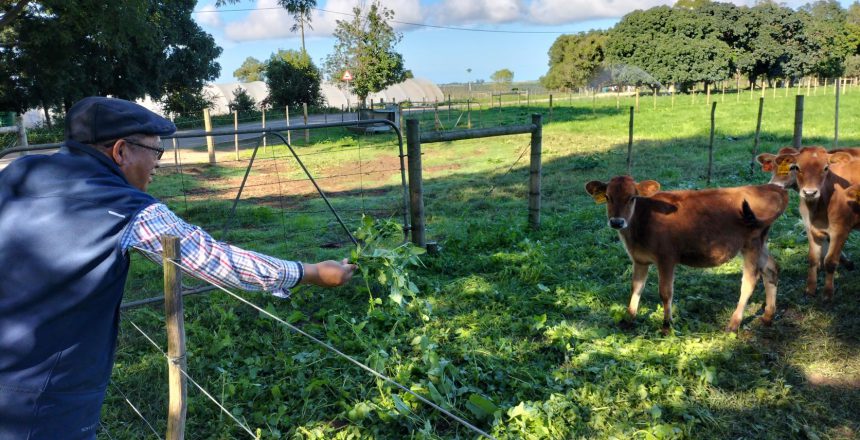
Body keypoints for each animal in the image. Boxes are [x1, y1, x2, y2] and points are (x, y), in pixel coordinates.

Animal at [584, 177, 788, 332]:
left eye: (632, 197)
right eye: (608, 197)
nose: (616, 222)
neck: (643, 219)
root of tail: (771, 188)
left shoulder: (666, 258)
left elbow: (665, 292)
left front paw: (667, 326)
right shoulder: (639, 260)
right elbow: (636, 288)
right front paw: (629, 319)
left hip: (752, 243)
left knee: (749, 281)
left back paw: (733, 324)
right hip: (759, 242)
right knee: (772, 269)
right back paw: (768, 316)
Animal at [772, 148, 860, 300]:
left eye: (826, 168)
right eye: (797, 167)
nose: (810, 192)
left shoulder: (840, 230)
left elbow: (830, 261)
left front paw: (827, 294)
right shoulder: (811, 229)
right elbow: (813, 259)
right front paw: (810, 289)